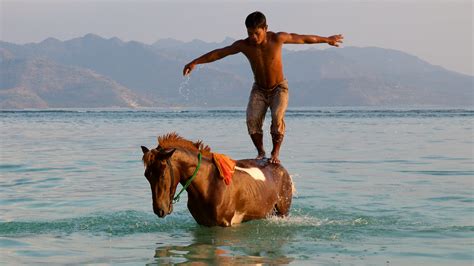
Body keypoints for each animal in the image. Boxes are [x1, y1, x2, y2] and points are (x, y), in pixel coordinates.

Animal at [141, 133, 292, 227]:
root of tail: (281, 168)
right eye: (147, 175)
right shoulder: (203, 223)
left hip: (282, 212)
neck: (207, 184)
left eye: (162, 173)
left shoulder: (224, 223)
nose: (159, 210)